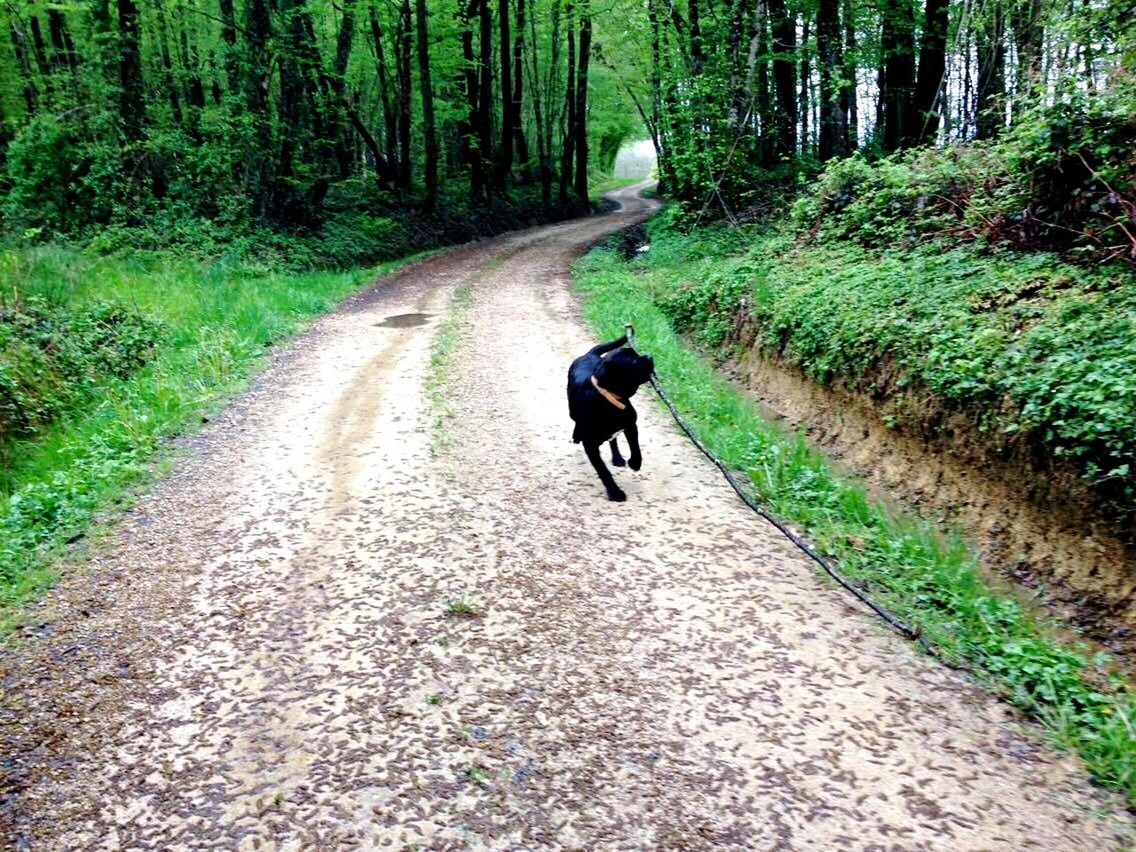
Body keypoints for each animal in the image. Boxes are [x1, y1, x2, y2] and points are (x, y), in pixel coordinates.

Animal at [568, 336, 658, 504]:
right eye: (633, 361)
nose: (650, 356)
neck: (609, 399)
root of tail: (589, 354)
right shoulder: (590, 445)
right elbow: (603, 470)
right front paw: (615, 492)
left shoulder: (631, 425)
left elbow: (636, 448)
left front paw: (635, 463)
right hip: (572, 411)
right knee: (577, 422)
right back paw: (576, 435)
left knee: (613, 440)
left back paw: (617, 458)